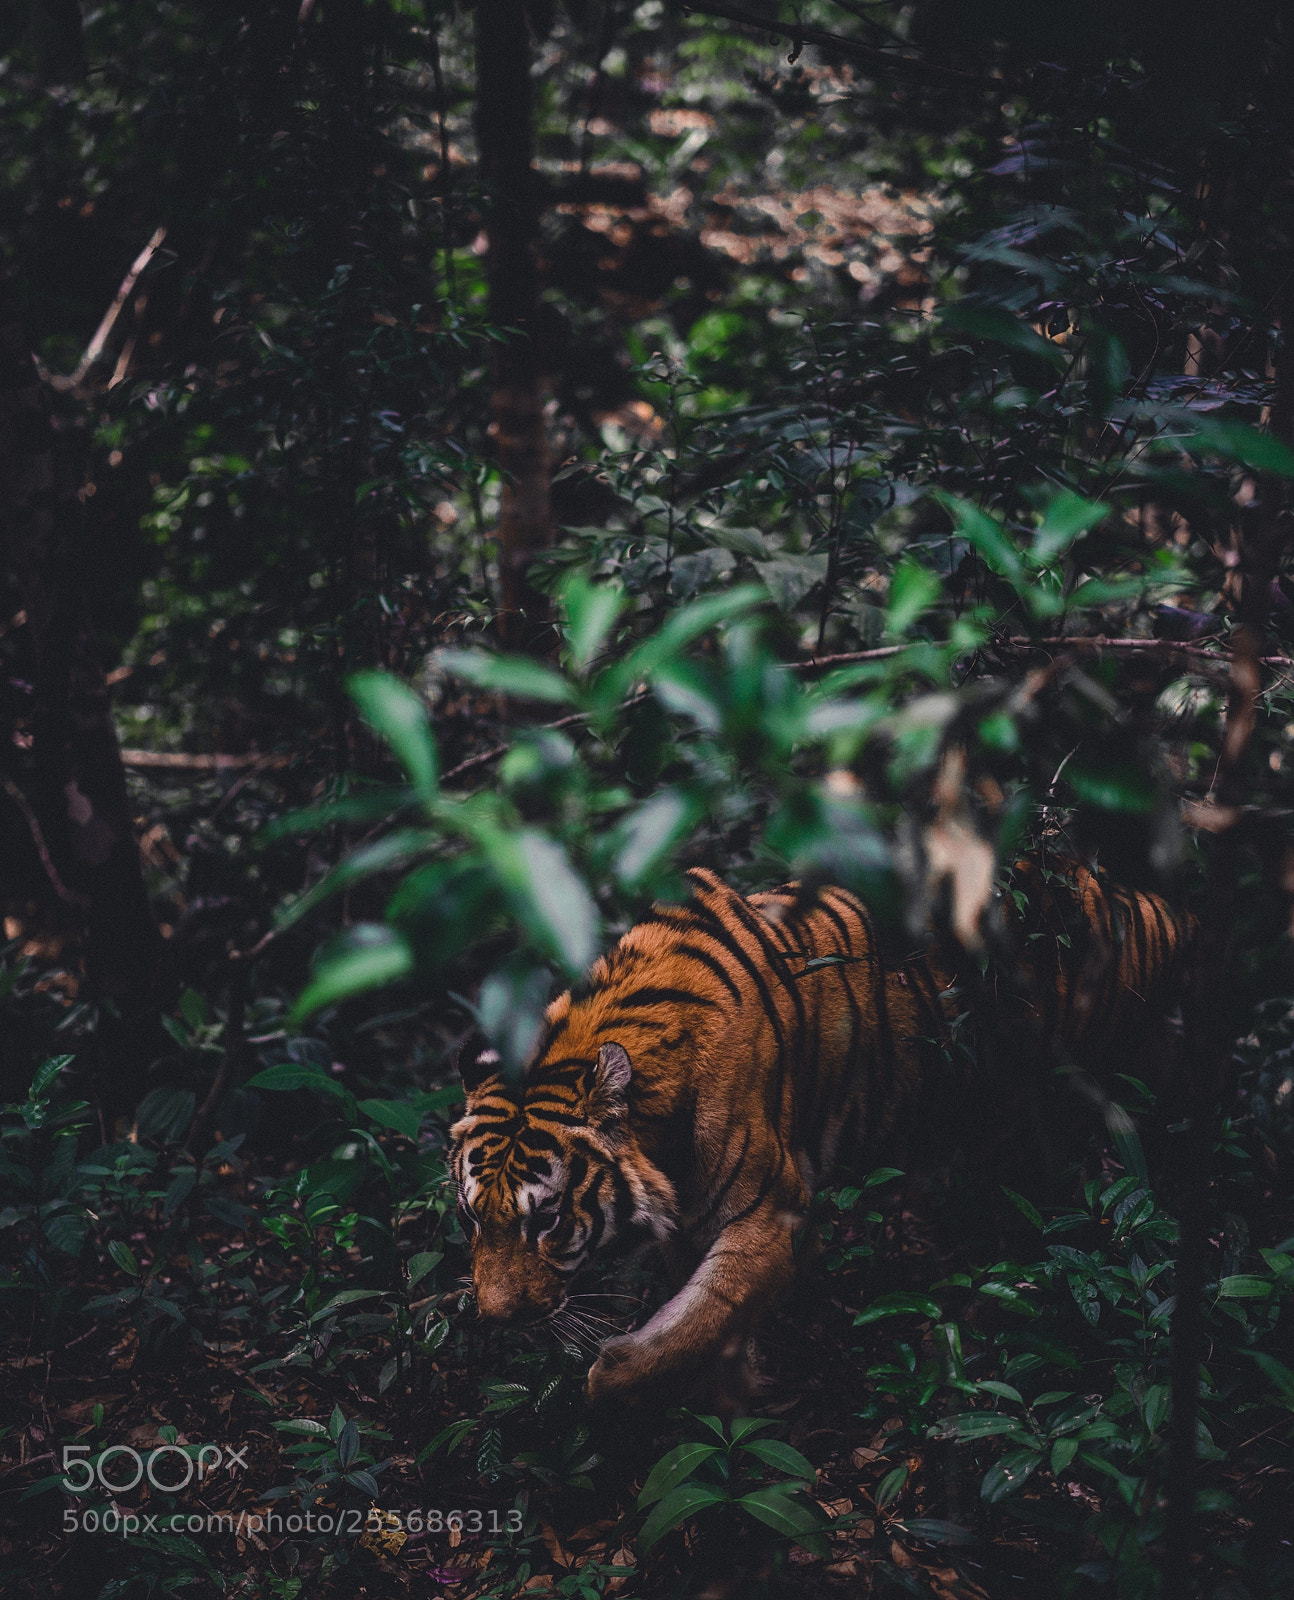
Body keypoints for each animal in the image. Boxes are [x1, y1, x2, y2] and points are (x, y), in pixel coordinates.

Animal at [449, 857, 1194, 1407]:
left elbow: (707, 1313)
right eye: (472, 1219)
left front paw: (616, 1375)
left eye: (546, 1221)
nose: (493, 1318)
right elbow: (705, 1313)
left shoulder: (772, 1215)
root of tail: (1137, 897)